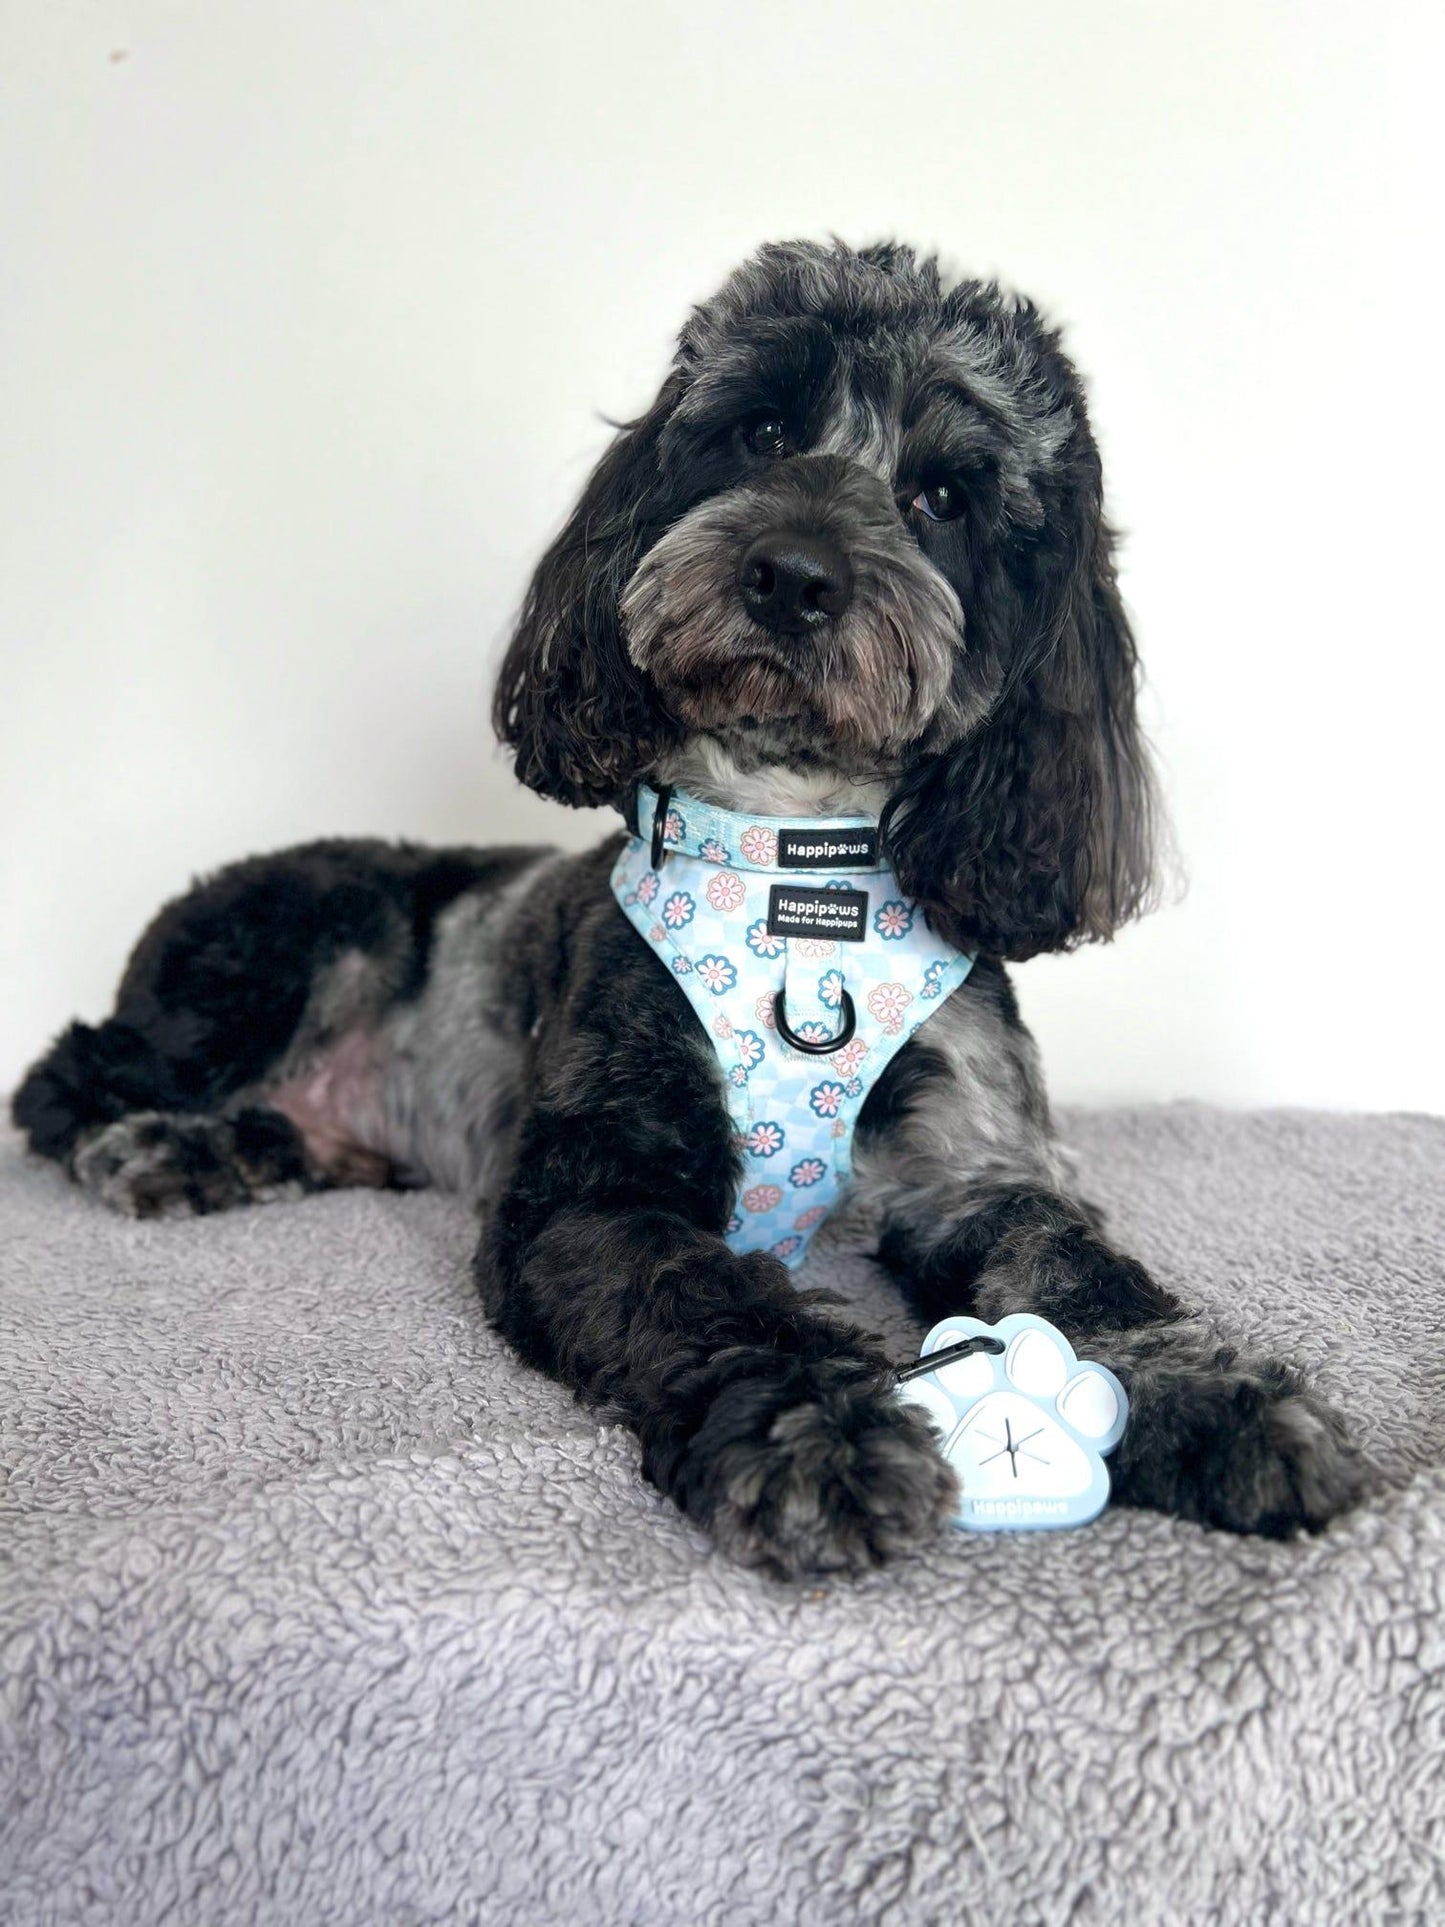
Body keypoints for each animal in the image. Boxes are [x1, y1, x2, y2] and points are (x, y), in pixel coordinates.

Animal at [14, 240, 1371, 1572]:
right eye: (761, 430)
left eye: (944, 497)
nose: (792, 574)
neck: (794, 876)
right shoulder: (592, 1185)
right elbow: (702, 1294)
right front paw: (818, 1429)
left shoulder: (979, 1168)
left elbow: (1080, 1276)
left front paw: (1219, 1400)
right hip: (297, 944)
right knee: (65, 1078)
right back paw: (158, 1144)